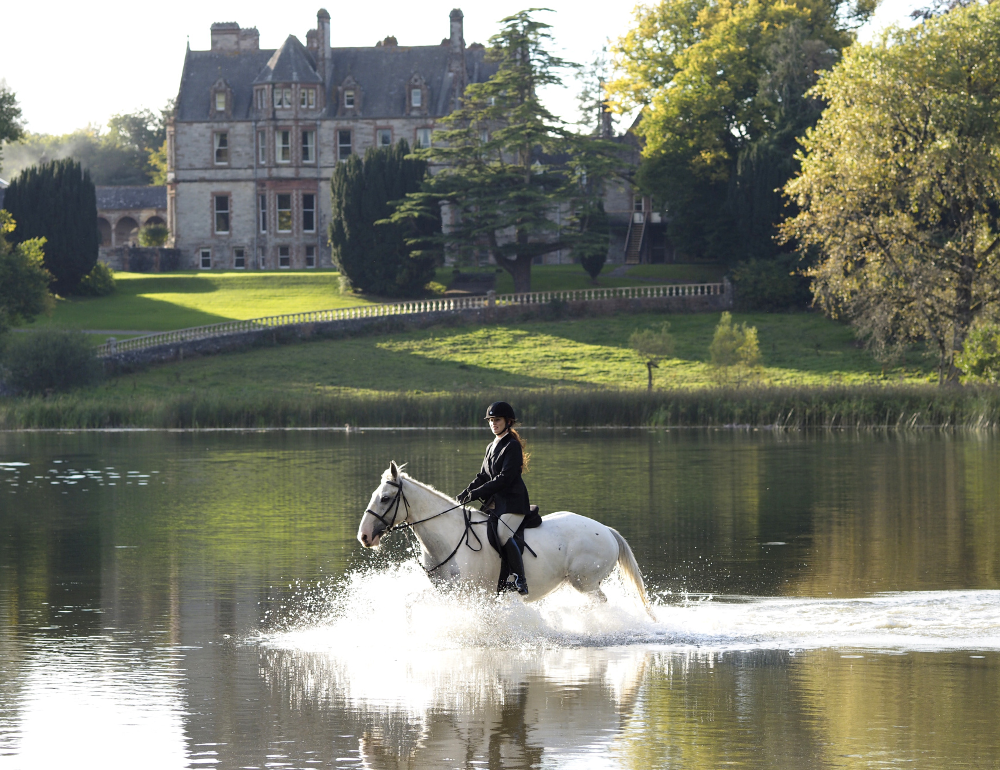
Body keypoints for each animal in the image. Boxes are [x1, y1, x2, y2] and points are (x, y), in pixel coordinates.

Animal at [356, 462, 652, 612]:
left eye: (385, 498)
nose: (364, 536)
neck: (448, 539)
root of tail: (607, 531)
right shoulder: (447, 593)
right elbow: (410, 602)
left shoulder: (470, 594)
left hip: (585, 582)